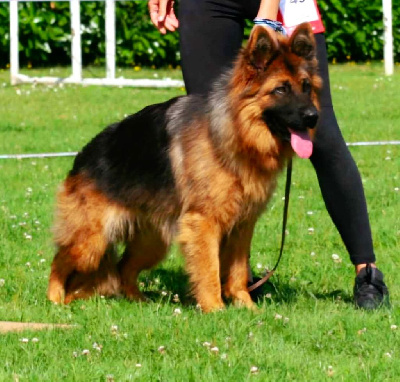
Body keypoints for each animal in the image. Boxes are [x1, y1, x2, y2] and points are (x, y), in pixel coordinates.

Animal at [47, 22, 322, 312]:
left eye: (306, 87)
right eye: (281, 89)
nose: (313, 117)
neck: (233, 133)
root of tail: (83, 157)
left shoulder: (242, 226)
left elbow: (236, 272)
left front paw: (246, 307)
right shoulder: (203, 223)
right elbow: (209, 269)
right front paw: (216, 310)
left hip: (152, 243)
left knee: (123, 269)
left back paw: (139, 301)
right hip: (91, 241)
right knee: (59, 260)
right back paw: (54, 299)